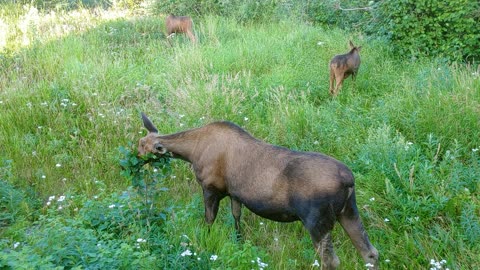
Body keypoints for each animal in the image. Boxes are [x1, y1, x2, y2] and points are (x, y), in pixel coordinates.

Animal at [137, 113, 376, 268]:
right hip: (348, 211)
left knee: (331, 261)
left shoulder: (210, 187)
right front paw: (239, 242)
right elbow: (236, 217)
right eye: (140, 141)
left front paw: (205, 243)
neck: (191, 152)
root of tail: (348, 180)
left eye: (142, 146)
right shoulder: (234, 193)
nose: (134, 158)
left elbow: (209, 220)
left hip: (316, 220)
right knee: (370, 252)